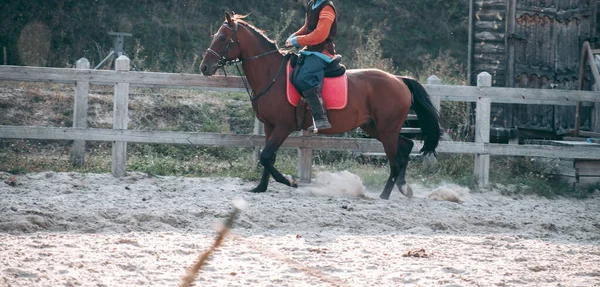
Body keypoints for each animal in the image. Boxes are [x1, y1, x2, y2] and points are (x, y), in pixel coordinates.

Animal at [199, 11, 438, 200]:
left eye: (222, 38)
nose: (204, 67)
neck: (272, 74)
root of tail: (399, 80)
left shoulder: (283, 127)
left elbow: (266, 156)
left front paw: (289, 181)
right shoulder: (269, 127)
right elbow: (268, 157)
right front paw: (261, 187)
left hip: (386, 130)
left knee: (396, 160)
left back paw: (385, 195)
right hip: (375, 127)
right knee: (406, 147)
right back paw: (404, 188)